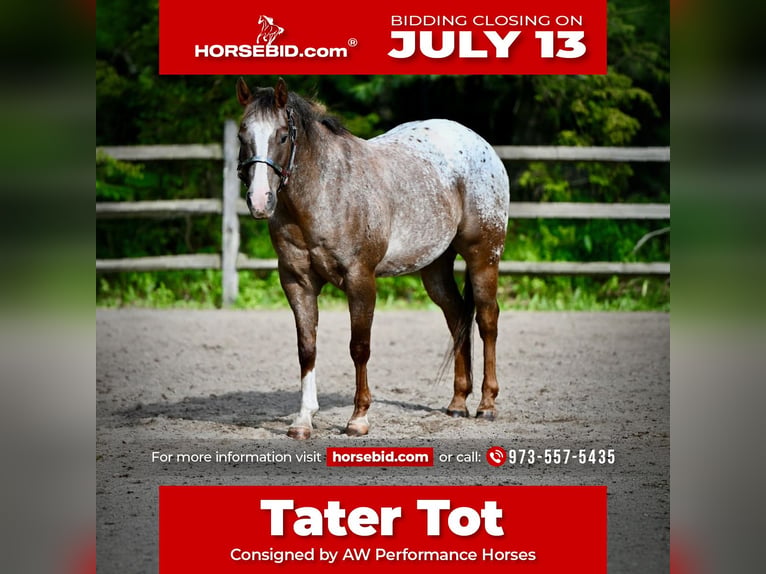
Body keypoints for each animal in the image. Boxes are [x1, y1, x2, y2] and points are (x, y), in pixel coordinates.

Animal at [235, 77, 510, 439]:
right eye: (242, 135)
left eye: (282, 136)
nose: (260, 201)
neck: (326, 192)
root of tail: (480, 145)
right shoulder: (297, 282)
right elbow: (307, 347)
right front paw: (303, 420)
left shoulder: (360, 280)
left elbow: (359, 347)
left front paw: (358, 418)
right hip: (435, 268)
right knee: (456, 317)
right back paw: (457, 403)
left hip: (484, 256)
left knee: (487, 320)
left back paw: (487, 404)